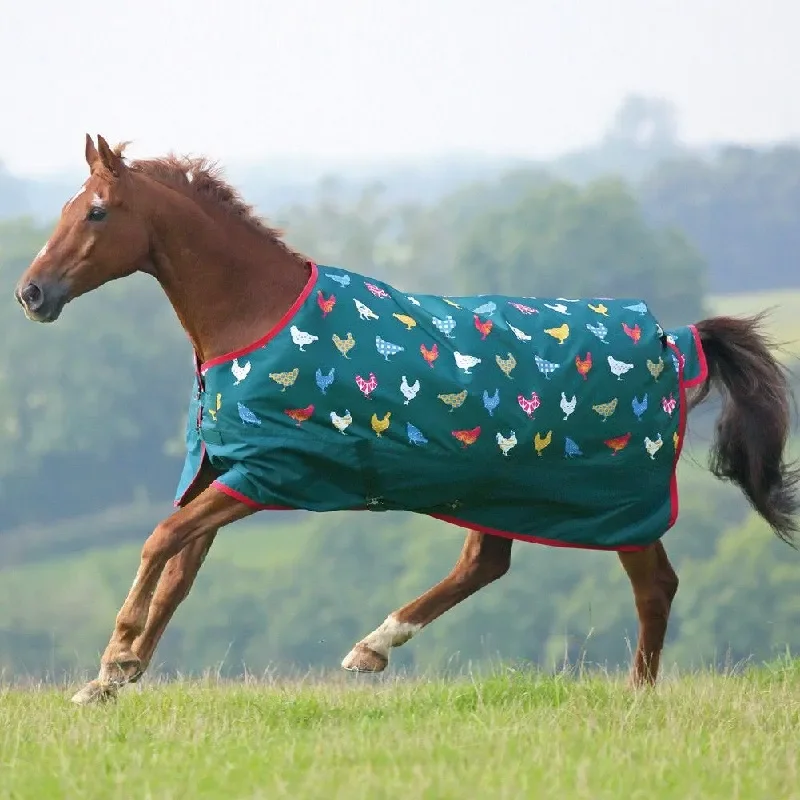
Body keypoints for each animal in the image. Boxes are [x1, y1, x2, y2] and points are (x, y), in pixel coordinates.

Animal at [14, 134, 799, 706]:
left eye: (97, 211)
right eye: (67, 206)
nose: (31, 293)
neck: (256, 318)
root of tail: (673, 341)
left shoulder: (266, 475)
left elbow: (158, 541)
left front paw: (115, 656)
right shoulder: (226, 471)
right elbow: (179, 566)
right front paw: (110, 680)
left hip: (616, 502)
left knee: (654, 587)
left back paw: (636, 694)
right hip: (500, 490)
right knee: (489, 562)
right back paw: (373, 646)